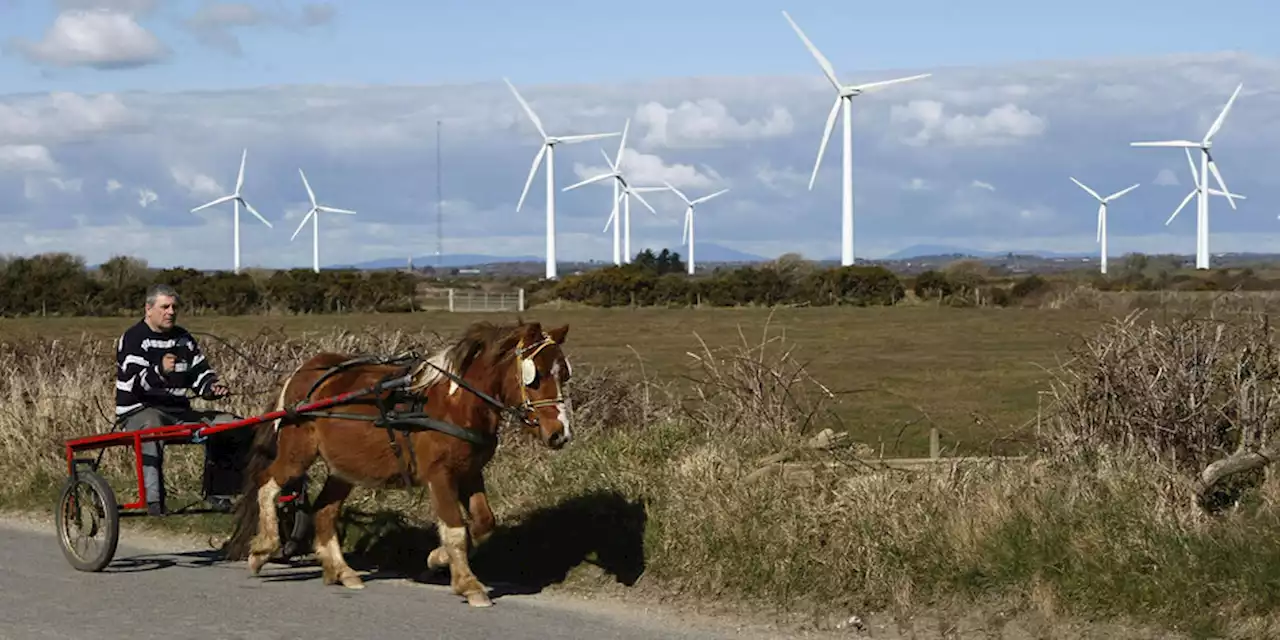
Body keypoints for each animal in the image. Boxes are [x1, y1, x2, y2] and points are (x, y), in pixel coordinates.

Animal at [222, 317, 573, 606]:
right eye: (535, 376)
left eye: (564, 374)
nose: (560, 433)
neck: (455, 403)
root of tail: (304, 372)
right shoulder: (439, 476)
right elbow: (456, 528)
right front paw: (468, 584)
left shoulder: (471, 473)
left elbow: (483, 522)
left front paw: (437, 557)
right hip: (298, 452)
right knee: (268, 485)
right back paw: (263, 548)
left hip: (345, 467)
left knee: (324, 510)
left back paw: (340, 570)